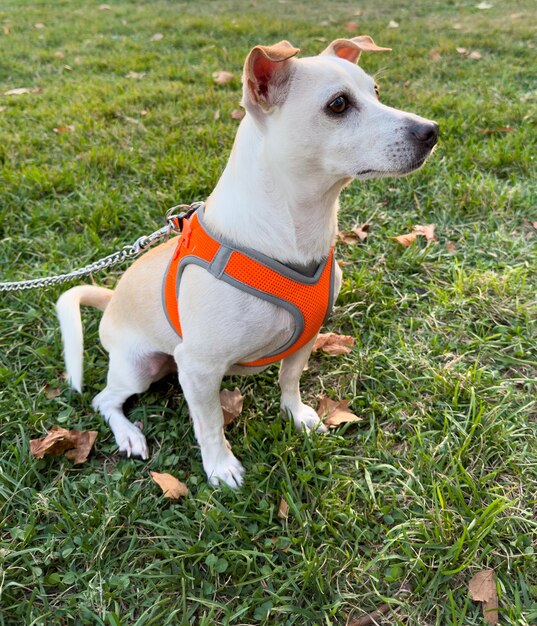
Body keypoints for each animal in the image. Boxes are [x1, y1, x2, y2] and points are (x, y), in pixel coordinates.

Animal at [56, 35, 438, 488]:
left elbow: (290, 379)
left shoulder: (306, 338)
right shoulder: (198, 367)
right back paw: (129, 434)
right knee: (104, 399)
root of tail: (112, 298)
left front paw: (297, 415)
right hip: (139, 366)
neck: (295, 233)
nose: (432, 131)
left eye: (376, 91)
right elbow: (210, 423)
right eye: (339, 105)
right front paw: (221, 467)